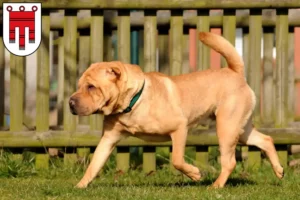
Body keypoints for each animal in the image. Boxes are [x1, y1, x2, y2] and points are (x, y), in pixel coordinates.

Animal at [69, 32, 284, 188]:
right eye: (79, 86)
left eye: (91, 87)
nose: (70, 102)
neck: (133, 101)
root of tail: (235, 72)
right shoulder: (108, 139)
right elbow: (94, 164)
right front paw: (80, 187)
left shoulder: (180, 128)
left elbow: (177, 160)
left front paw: (195, 174)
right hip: (239, 127)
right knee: (266, 139)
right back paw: (279, 170)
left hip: (226, 128)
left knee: (229, 162)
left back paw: (216, 186)